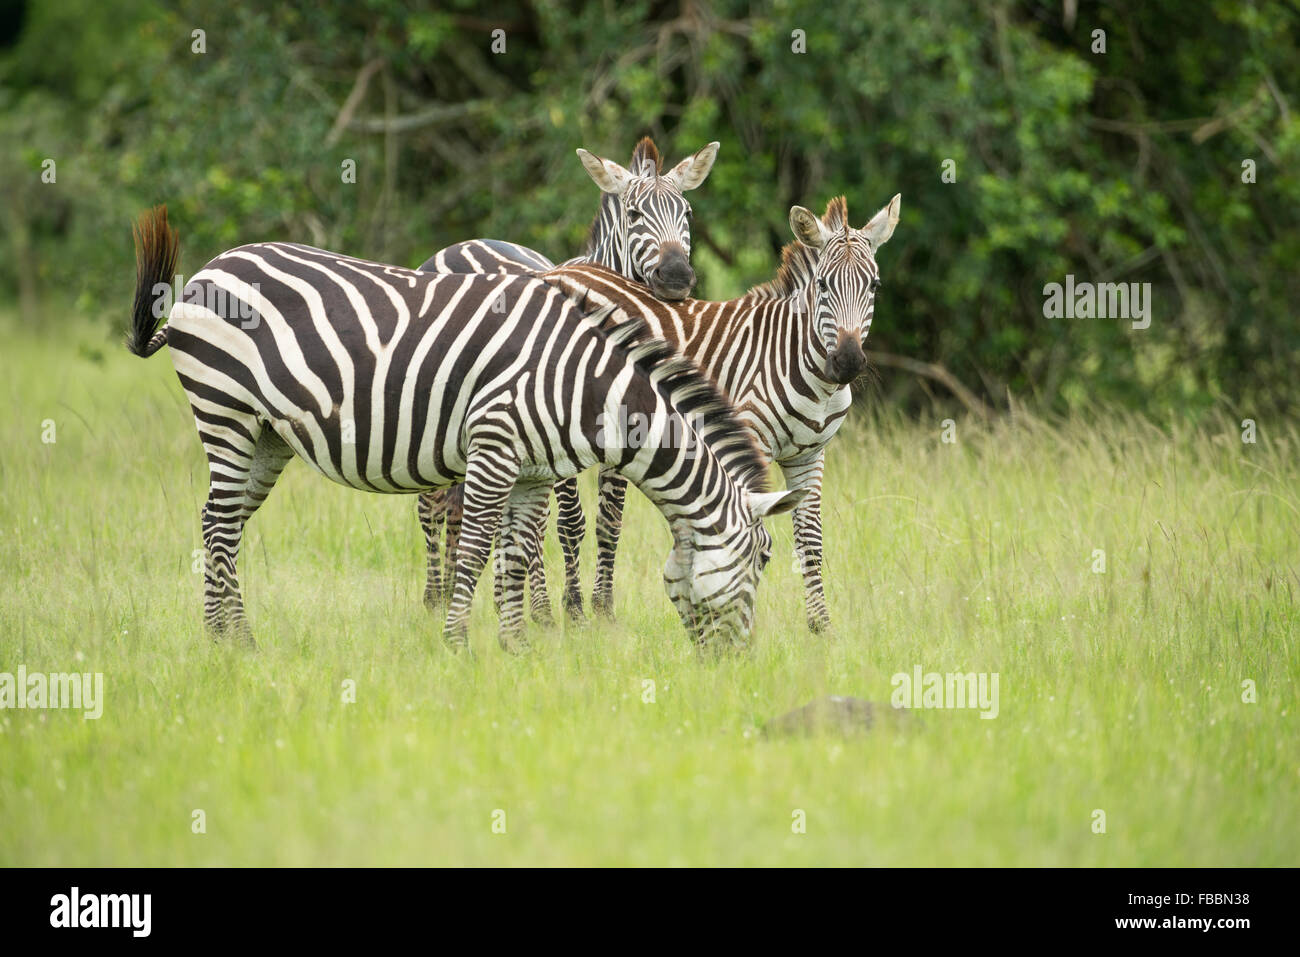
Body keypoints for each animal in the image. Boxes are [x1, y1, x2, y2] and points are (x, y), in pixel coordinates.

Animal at [129, 201, 800, 650]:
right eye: (763, 561)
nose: (739, 663)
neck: (585, 380)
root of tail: (208, 271)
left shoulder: (533, 474)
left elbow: (515, 556)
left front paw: (518, 648)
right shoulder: (494, 447)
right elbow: (477, 548)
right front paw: (457, 643)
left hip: (266, 437)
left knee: (221, 522)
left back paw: (226, 635)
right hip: (226, 412)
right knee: (219, 525)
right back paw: (233, 642)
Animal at [416, 138, 722, 621]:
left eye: (687, 213)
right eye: (634, 214)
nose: (676, 276)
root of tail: (463, 243)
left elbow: (610, 520)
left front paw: (602, 608)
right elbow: (569, 521)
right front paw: (572, 609)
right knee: (433, 506)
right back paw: (436, 598)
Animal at [491, 193, 899, 631]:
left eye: (874, 286)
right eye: (822, 285)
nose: (848, 362)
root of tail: (558, 270)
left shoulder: (810, 456)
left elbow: (810, 542)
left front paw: (821, 629)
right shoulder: (749, 438)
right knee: (545, 524)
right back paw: (552, 614)